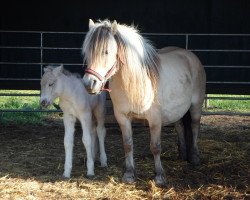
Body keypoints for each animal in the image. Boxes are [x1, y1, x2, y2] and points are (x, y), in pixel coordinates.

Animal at [82, 19, 207, 185]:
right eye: (87, 52)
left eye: (106, 51)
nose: (89, 84)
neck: (135, 81)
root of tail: (189, 55)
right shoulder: (122, 118)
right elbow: (128, 145)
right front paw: (129, 174)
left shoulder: (154, 120)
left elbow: (155, 147)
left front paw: (159, 176)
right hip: (177, 110)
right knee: (180, 126)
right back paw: (182, 153)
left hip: (196, 106)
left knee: (194, 127)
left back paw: (194, 157)